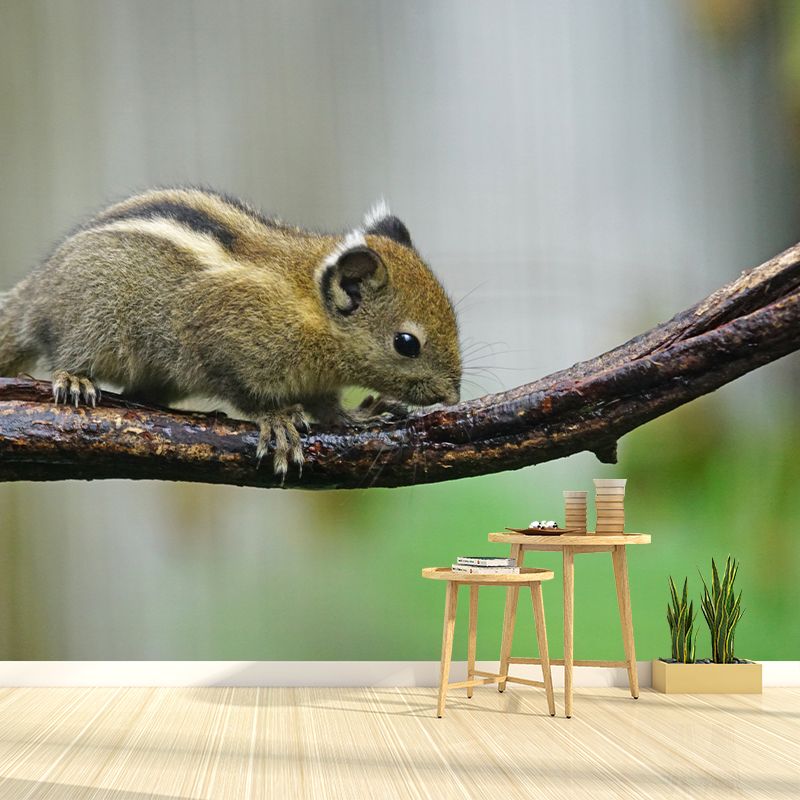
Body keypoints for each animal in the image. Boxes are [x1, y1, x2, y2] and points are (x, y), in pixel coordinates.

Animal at [0, 187, 461, 477]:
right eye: (407, 343)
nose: (453, 397)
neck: (310, 310)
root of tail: (36, 292)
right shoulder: (220, 342)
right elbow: (244, 391)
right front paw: (275, 419)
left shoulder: (317, 383)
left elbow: (328, 408)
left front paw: (360, 415)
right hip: (92, 320)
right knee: (67, 354)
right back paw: (74, 379)